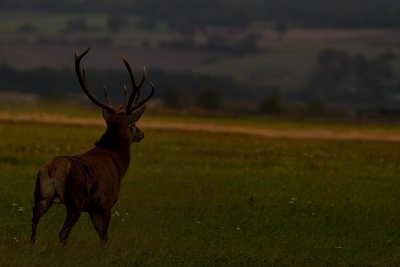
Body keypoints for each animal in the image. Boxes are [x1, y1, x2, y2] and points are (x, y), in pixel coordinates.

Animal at [29, 47, 154, 246]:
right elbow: (104, 236)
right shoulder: (105, 203)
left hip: (41, 195)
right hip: (75, 200)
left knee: (34, 220)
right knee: (63, 232)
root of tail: (52, 169)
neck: (119, 164)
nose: (141, 134)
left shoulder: (94, 207)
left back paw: (32, 247)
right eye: (134, 124)